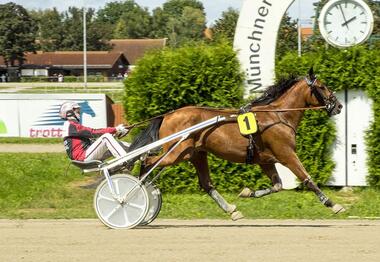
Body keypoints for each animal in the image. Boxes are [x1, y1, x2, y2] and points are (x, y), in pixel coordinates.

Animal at [130, 68, 344, 220]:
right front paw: (333, 204)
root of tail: (167, 115)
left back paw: (232, 210)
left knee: (206, 184)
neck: (278, 117)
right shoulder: (286, 154)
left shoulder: (265, 160)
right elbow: (307, 178)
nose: (339, 105)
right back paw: (135, 193)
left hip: (196, 153)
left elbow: (277, 186)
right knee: (146, 161)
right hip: (176, 153)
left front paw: (246, 192)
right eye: (322, 86)